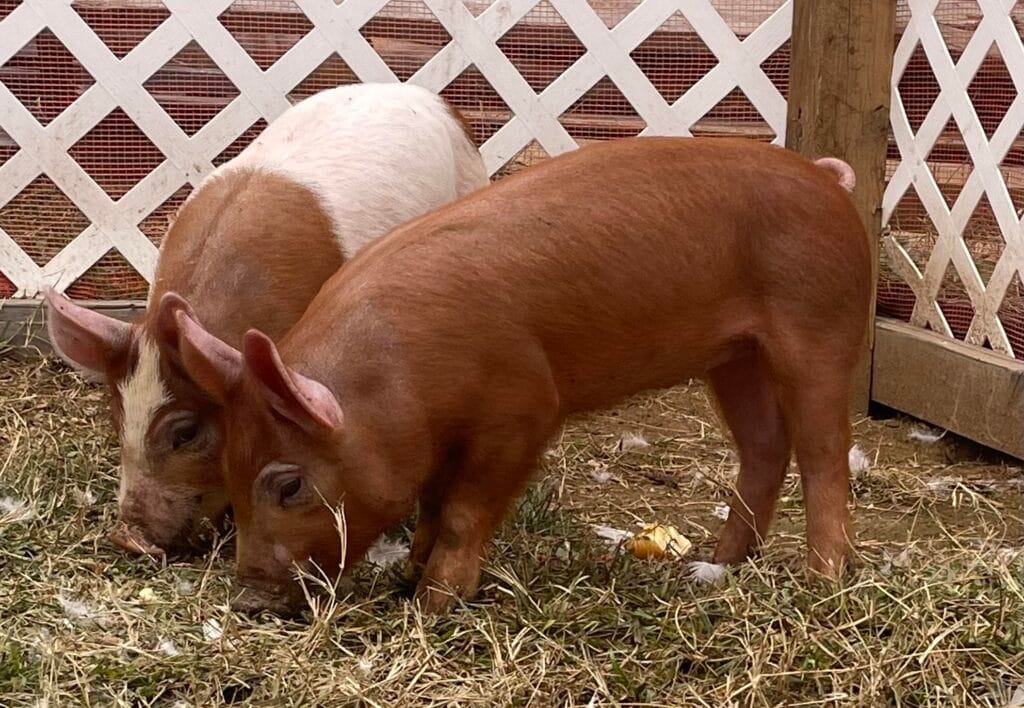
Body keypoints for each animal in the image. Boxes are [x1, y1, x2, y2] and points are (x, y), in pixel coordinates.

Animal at [173, 137, 871, 614]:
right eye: (227, 469)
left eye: (288, 485)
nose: (247, 600)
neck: (399, 383)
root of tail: (827, 180)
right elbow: (431, 501)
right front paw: (409, 575)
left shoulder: (524, 409)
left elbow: (463, 510)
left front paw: (434, 603)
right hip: (735, 356)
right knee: (764, 447)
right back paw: (716, 563)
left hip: (821, 326)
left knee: (825, 453)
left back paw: (823, 580)